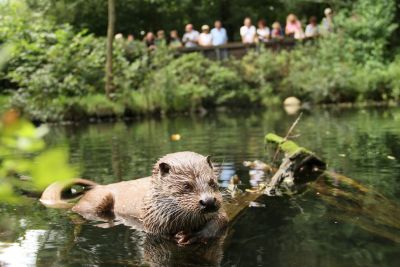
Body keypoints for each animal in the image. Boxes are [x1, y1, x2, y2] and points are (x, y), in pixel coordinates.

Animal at [41, 152, 228, 246]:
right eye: (186, 186)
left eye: (212, 182)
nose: (208, 201)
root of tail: (98, 187)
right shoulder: (153, 220)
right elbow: (160, 234)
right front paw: (179, 236)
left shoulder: (221, 213)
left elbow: (220, 222)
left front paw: (195, 235)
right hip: (98, 200)